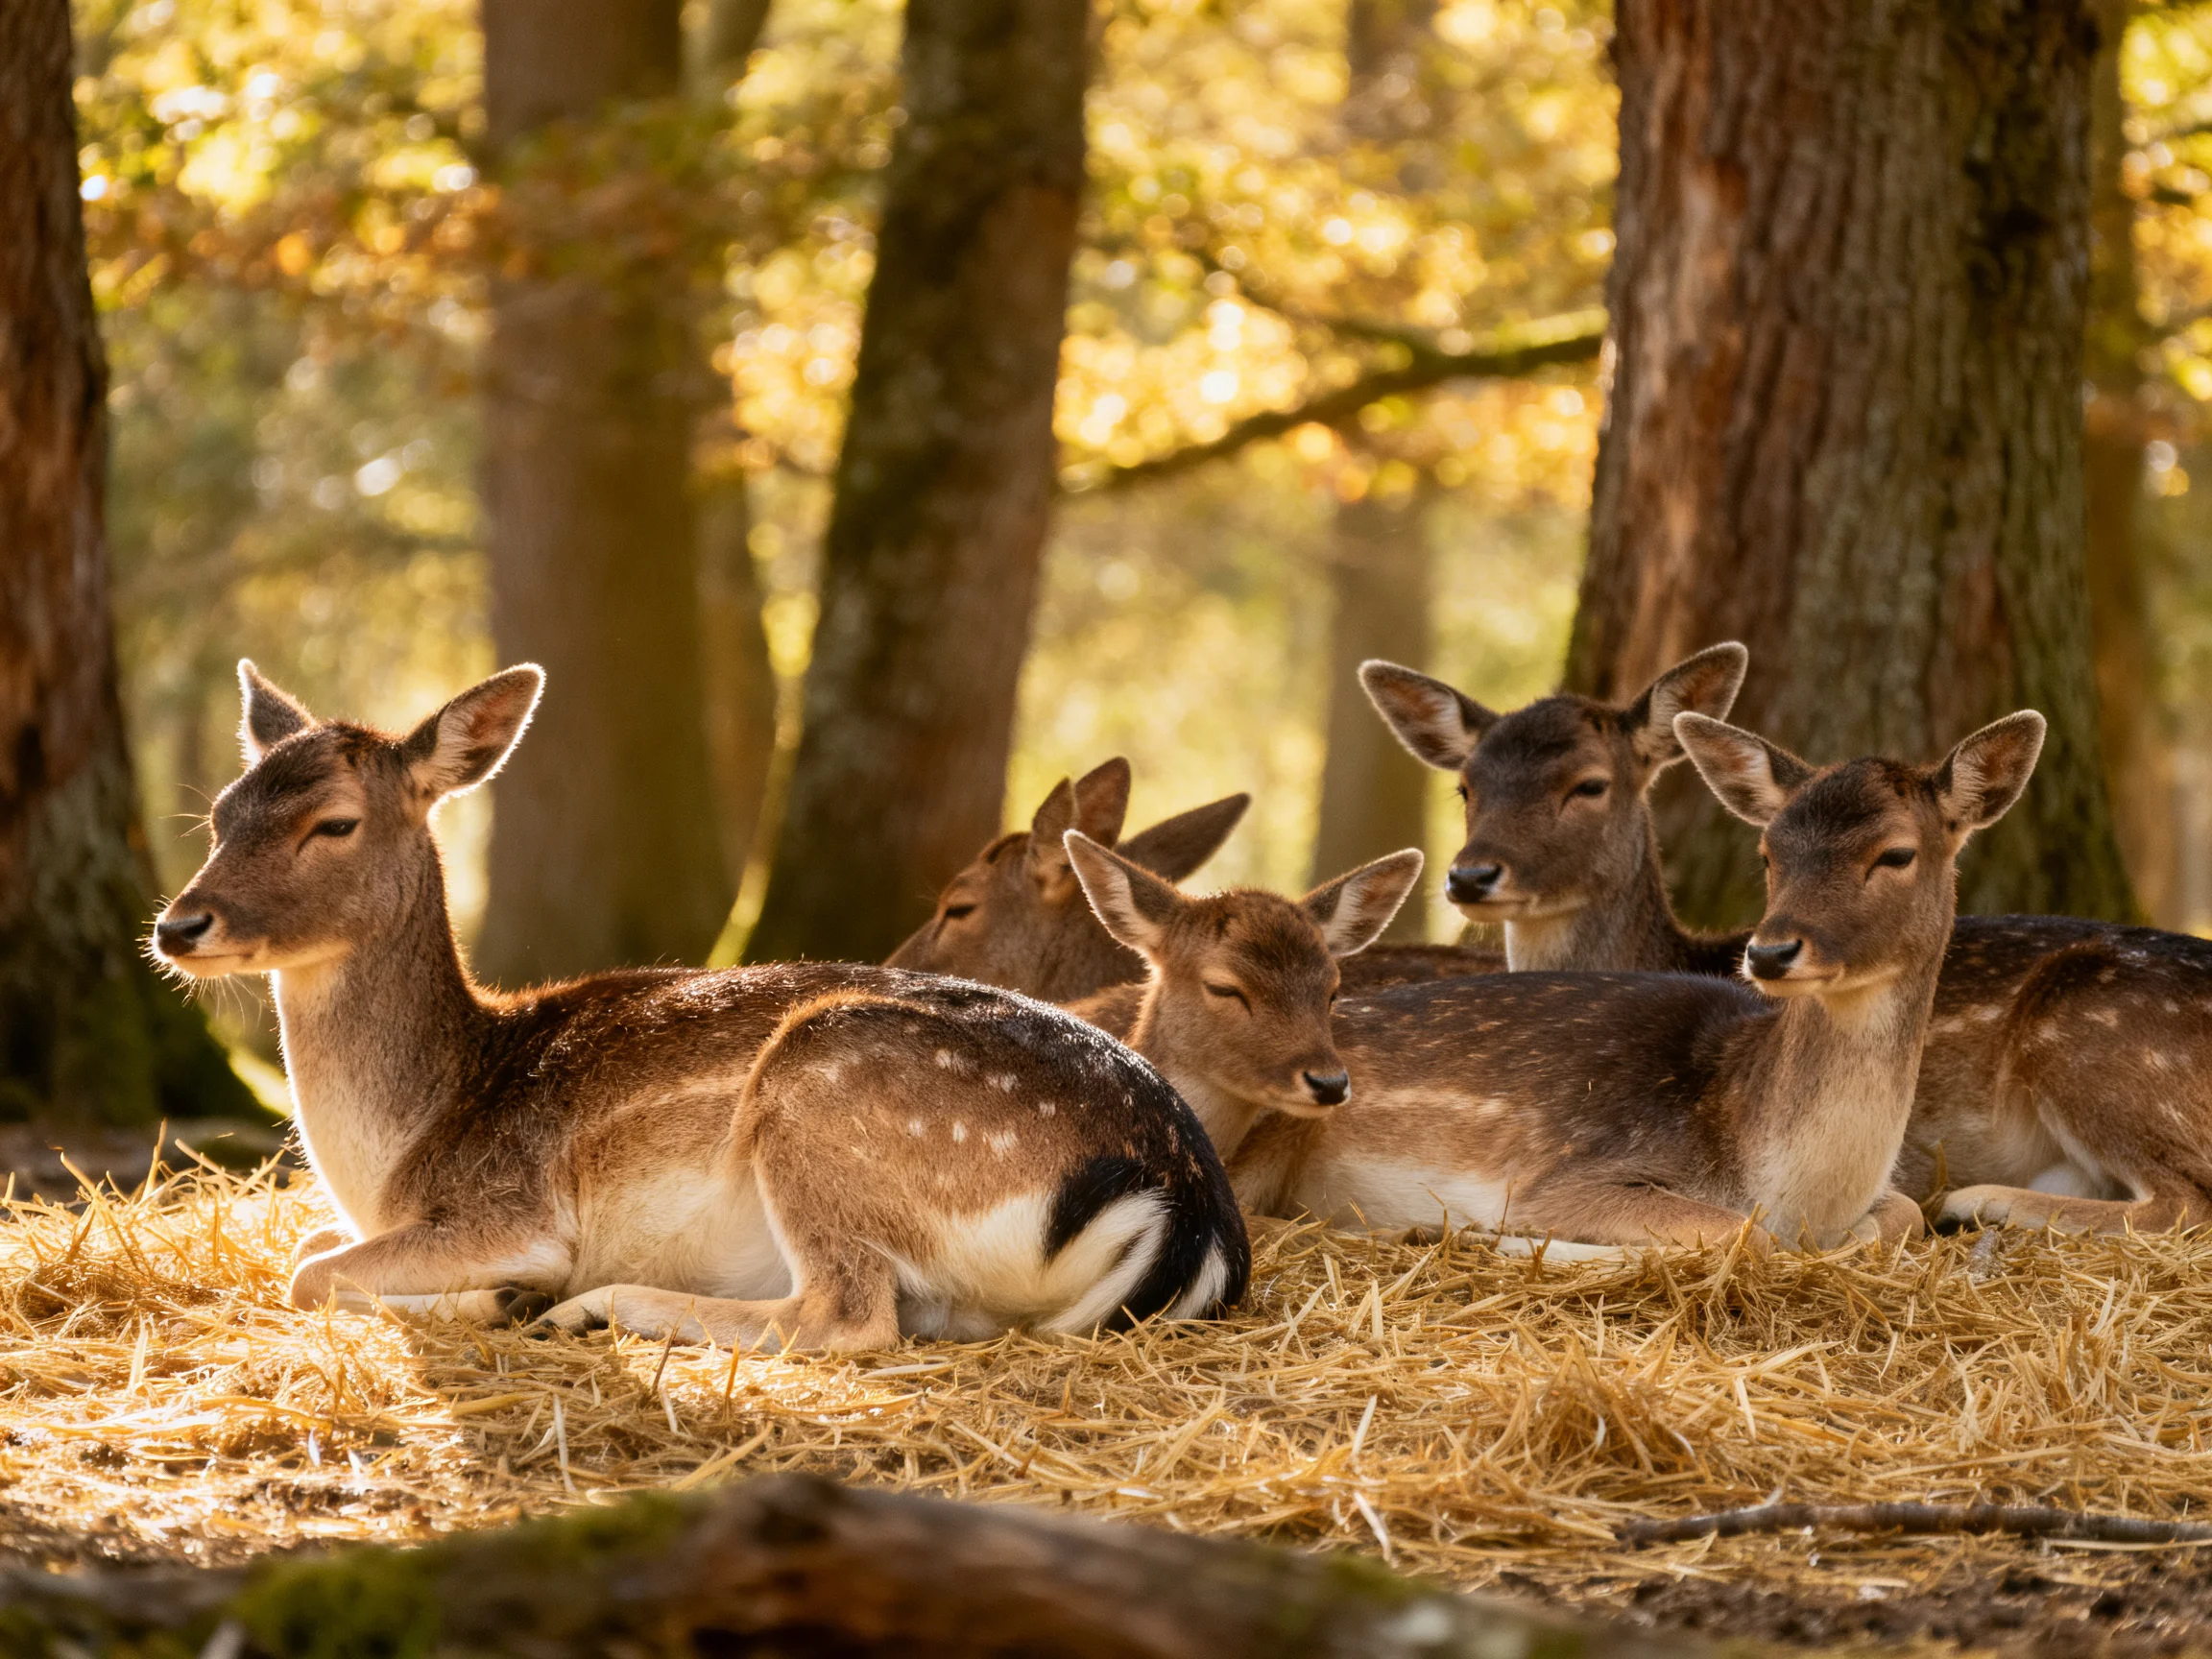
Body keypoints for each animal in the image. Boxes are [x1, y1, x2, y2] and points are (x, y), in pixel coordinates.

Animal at [149, 664, 1247, 1350]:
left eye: (333, 823)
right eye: (222, 814)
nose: (177, 924)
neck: (399, 1154)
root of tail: (1188, 1205)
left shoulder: (516, 1208)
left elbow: (309, 1273)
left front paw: (502, 1294)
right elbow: (306, 1249)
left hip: (823, 1089)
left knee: (845, 1317)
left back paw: (583, 1307)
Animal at [1060, 708, 2046, 1254]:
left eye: (1897, 854)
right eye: (1770, 853)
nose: (1770, 952)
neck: (1790, 1178)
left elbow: (1905, 1215)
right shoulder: (1573, 1176)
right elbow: (1739, 1236)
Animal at [1365, 648, 2212, 1236]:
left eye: (1589, 785)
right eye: (1465, 787)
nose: (1470, 876)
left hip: (2088, 1037)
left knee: (2182, 1201)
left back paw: (1980, 1199)